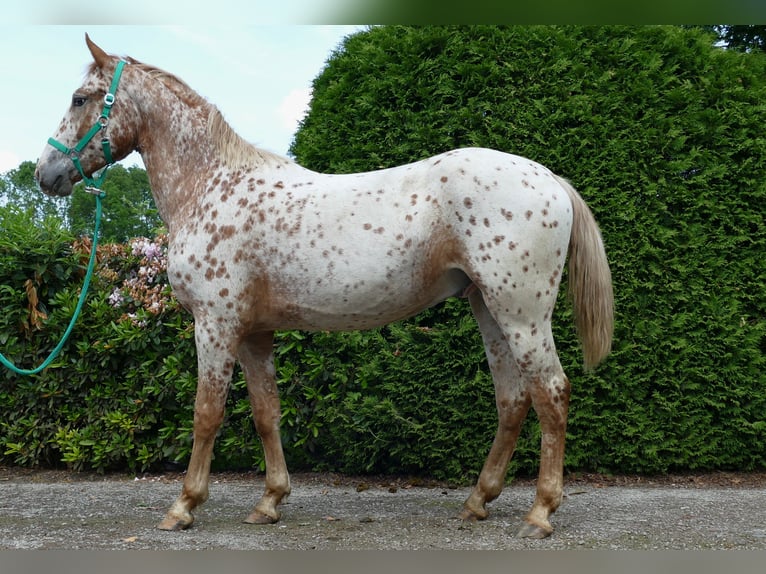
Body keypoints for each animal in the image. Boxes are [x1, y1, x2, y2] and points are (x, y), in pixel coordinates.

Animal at [33, 35, 616, 540]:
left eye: (80, 98)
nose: (46, 174)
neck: (211, 185)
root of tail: (549, 180)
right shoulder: (253, 333)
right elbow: (266, 413)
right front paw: (269, 501)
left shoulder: (215, 325)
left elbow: (206, 413)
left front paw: (183, 507)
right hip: (489, 309)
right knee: (513, 399)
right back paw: (478, 501)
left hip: (522, 314)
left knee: (551, 393)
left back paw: (540, 513)